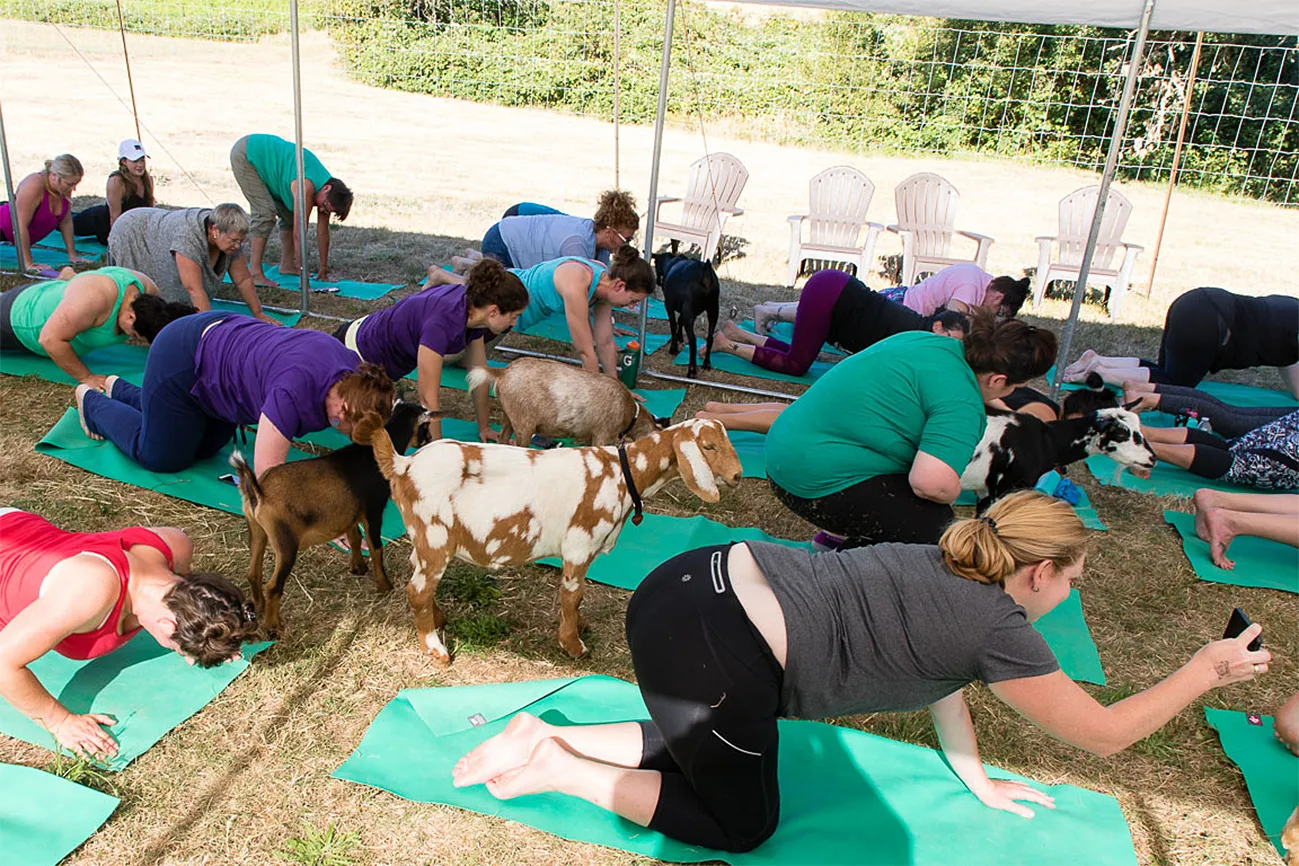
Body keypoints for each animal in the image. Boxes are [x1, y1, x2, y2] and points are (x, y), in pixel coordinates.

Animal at [956, 405, 1158, 508]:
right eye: (1121, 434)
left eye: (1139, 428)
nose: (1152, 458)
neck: (1047, 442)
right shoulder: (1006, 489)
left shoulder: (984, 490)